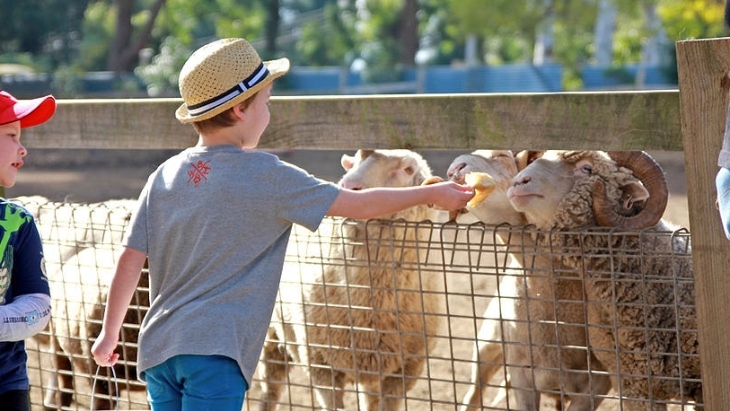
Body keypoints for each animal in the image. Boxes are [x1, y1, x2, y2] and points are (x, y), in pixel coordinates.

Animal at [258, 150, 444, 411]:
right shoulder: (321, 366)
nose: (347, 186)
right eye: (354, 163)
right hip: (271, 335)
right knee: (270, 387)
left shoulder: (405, 370)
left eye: (408, 169)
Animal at [446, 152, 612, 411]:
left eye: (502, 155)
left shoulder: (599, 381)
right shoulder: (521, 374)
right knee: (474, 394)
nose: (454, 167)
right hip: (486, 345)